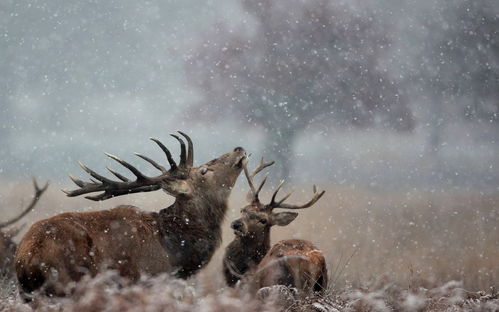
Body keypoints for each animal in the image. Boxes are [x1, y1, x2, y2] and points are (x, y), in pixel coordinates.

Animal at [16, 132, 247, 298]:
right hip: (68, 283)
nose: (239, 148)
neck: (177, 254)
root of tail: (28, 257)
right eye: (204, 171)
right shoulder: (147, 280)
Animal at [224, 160, 328, 294]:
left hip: (283, 282)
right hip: (323, 285)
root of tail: (318, 260)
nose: (237, 224)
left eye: (263, 220)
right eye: (243, 209)